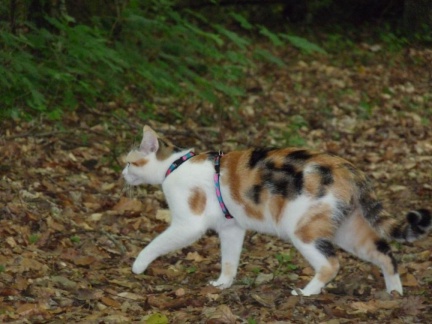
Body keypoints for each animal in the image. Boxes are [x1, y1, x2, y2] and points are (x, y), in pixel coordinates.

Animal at [122, 126, 432, 296]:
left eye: (128, 162)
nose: (121, 173)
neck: (176, 165)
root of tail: (349, 168)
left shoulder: (189, 224)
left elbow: (156, 243)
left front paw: (138, 265)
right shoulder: (231, 227)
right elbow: (229, 260)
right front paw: (222, 284)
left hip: (303, 230)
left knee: (331, 264)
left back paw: (306, 293)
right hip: (348, 230)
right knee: (385, 254)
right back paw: (395, 293)